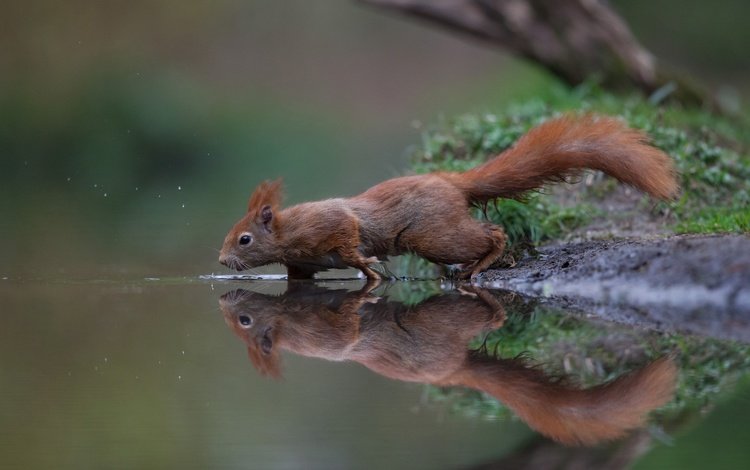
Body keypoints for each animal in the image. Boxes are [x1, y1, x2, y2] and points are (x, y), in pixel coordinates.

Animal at [219, 114, 680, 280]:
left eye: (244, 239)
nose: (222, 262)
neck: (288, 232)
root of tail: (452, 182)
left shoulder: (329, 225)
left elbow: (349, 240)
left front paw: (368, 266)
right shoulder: (301, 264)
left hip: (434, 236)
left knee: (492, 233)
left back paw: (482, 264)